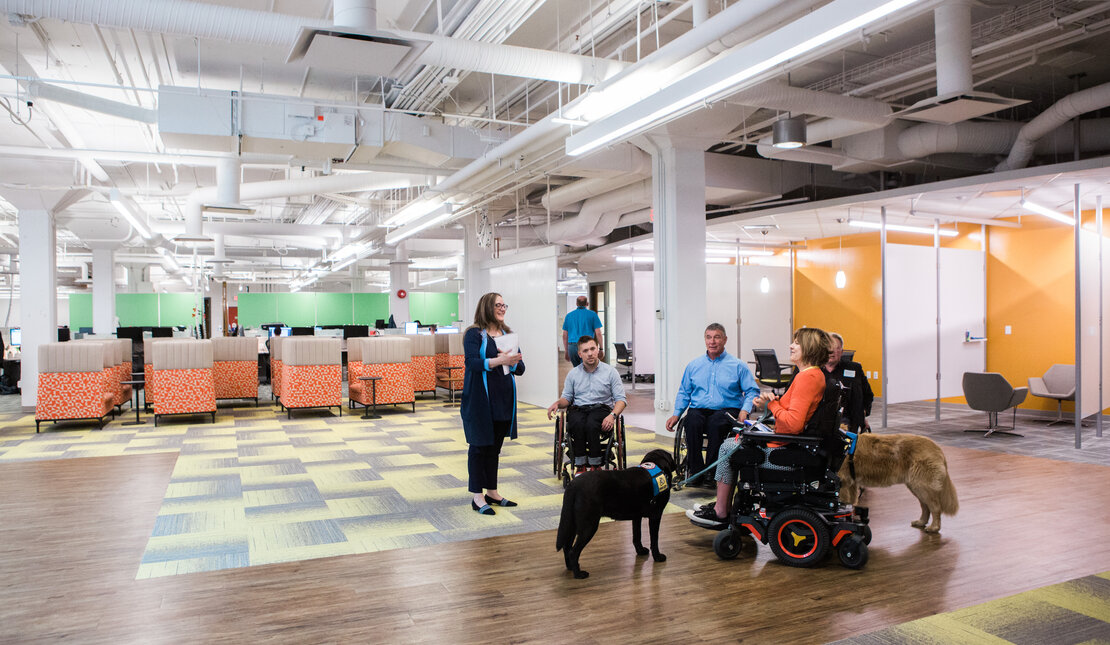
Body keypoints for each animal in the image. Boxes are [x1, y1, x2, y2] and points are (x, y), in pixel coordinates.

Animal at [555, 448, 674, 577]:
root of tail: (573, 485)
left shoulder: (636, 516)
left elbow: (637, 536)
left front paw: (641, 551)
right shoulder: (656, 515)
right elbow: (654, 539)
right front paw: (658, 557)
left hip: (572, 524)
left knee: (567, 547)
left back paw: (570, 568)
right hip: (589, 525)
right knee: (573, 551)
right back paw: (579, 574)